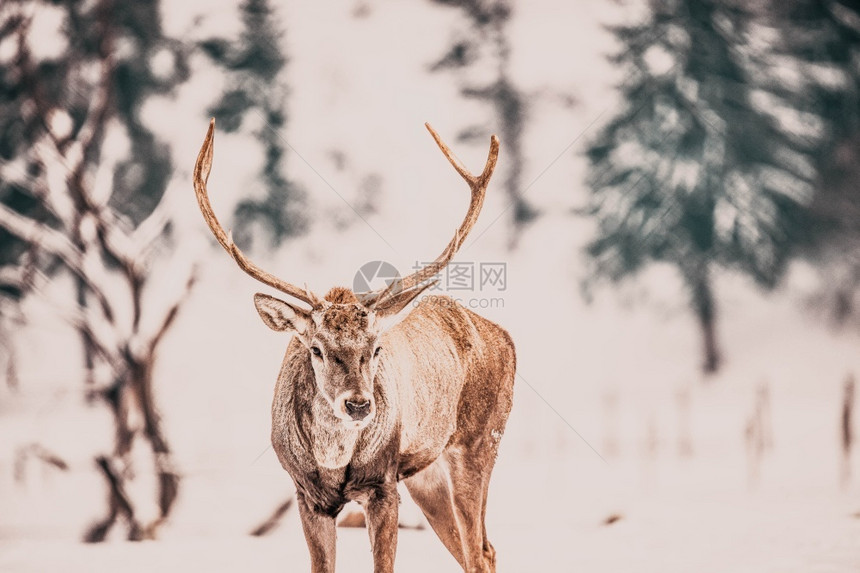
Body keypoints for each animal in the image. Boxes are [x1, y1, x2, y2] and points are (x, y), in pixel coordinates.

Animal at [193, 118, 516, 568]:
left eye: (376, 348)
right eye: (316, 349)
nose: (359, 404)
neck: (333, 461)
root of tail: (504, 336)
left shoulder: (383, 487)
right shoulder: (307, 496)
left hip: (479, 443)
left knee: (481, 551)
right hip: (426, 473)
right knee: (478, 549)